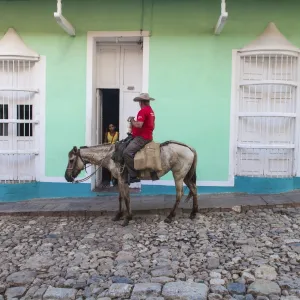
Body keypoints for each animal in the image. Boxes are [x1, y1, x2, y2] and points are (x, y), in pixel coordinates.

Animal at [64, 142, 198, 226]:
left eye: (71, 160)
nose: (67, 177)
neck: (111, 156)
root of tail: (190, 148)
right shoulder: (119, 179)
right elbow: (120, 197)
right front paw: (119, 215)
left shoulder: (122, 179)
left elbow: (126, 198)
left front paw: (127, 218)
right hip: (186, 176)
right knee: (194, 189)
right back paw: (193, 213)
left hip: (178, 175)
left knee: (179, 194)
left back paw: (170, 216)